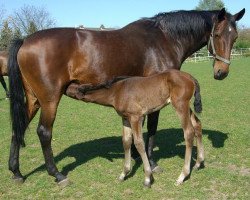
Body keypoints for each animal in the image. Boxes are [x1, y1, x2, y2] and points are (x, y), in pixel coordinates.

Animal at [66, 69, 205, 187]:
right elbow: (126, 141)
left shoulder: (136, 117)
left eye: (73, 87)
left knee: (189, 132)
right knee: (197, 124)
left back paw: (182, 176)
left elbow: (139, 143)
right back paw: (199, 163)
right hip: (186, 107)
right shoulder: (126, 118)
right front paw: (124, 174)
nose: (65, 87)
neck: (116, 91)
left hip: (180, 105)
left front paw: (148, 178)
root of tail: (190, 77)